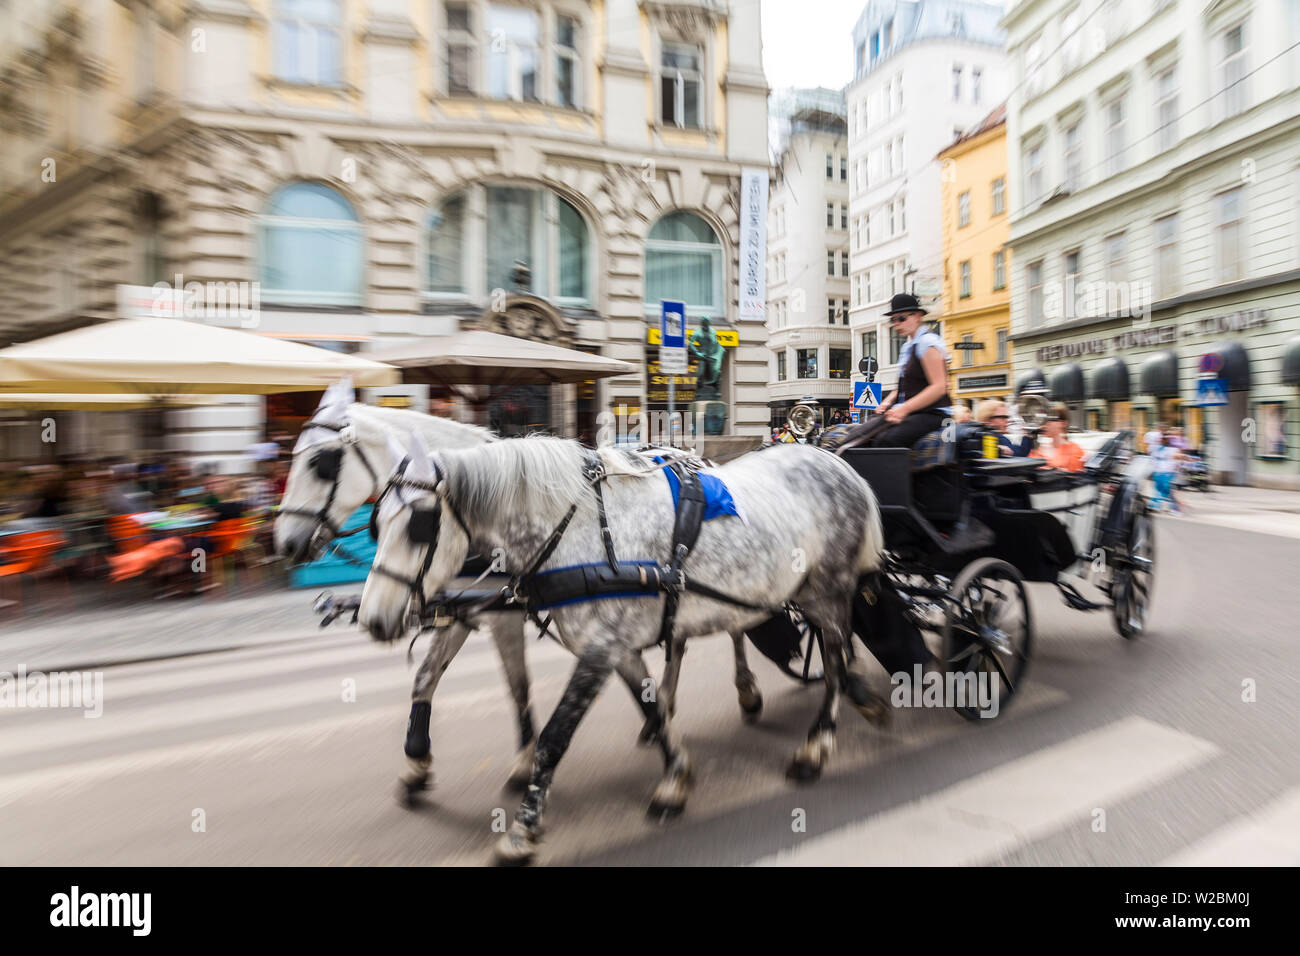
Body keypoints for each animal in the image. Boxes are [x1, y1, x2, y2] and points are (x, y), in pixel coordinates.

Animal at [358, 434, 884, 864]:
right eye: (375, 524)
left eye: (419, 525)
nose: (372, 620)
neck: (580, 531)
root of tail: (838, 463)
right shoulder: (618, 646)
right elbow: (648, 703)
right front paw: (675, 779)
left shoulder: (600, 648)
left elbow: (553, 739)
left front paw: (523, 831)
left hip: (827, 591)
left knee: (834, 661)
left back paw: (816, 745)